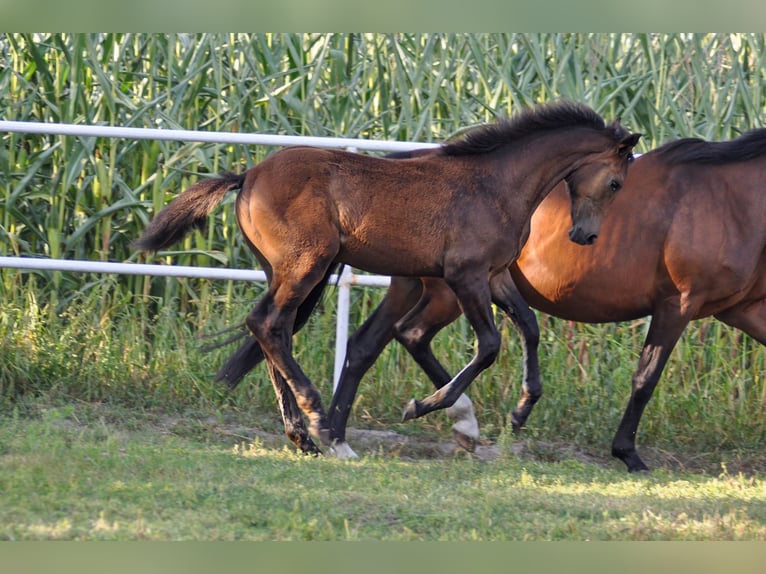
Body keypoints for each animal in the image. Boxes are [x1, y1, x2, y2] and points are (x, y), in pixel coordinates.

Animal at [134, 101, 640, 456]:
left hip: (283, 270)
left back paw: (307, 437)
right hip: (307, 265)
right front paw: (423, 406)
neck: (496, 185)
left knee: (272, 329)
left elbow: (529, 328)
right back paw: (317, 420)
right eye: (616, 182)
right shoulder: (465, 275)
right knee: (268, 324)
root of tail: (249, 175)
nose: (584, 235)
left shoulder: (495, 276)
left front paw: (520, 411)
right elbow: (490, 344)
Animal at [324, 130, 766, 472]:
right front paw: (628, 455)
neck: (732, 204)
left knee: (374, 342)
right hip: (447, 291)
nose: (585, 234)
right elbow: (646, 377)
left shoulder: (743, 309)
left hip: (415, 286)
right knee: (411, 335)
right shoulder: (678, 304)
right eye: (614, 184)